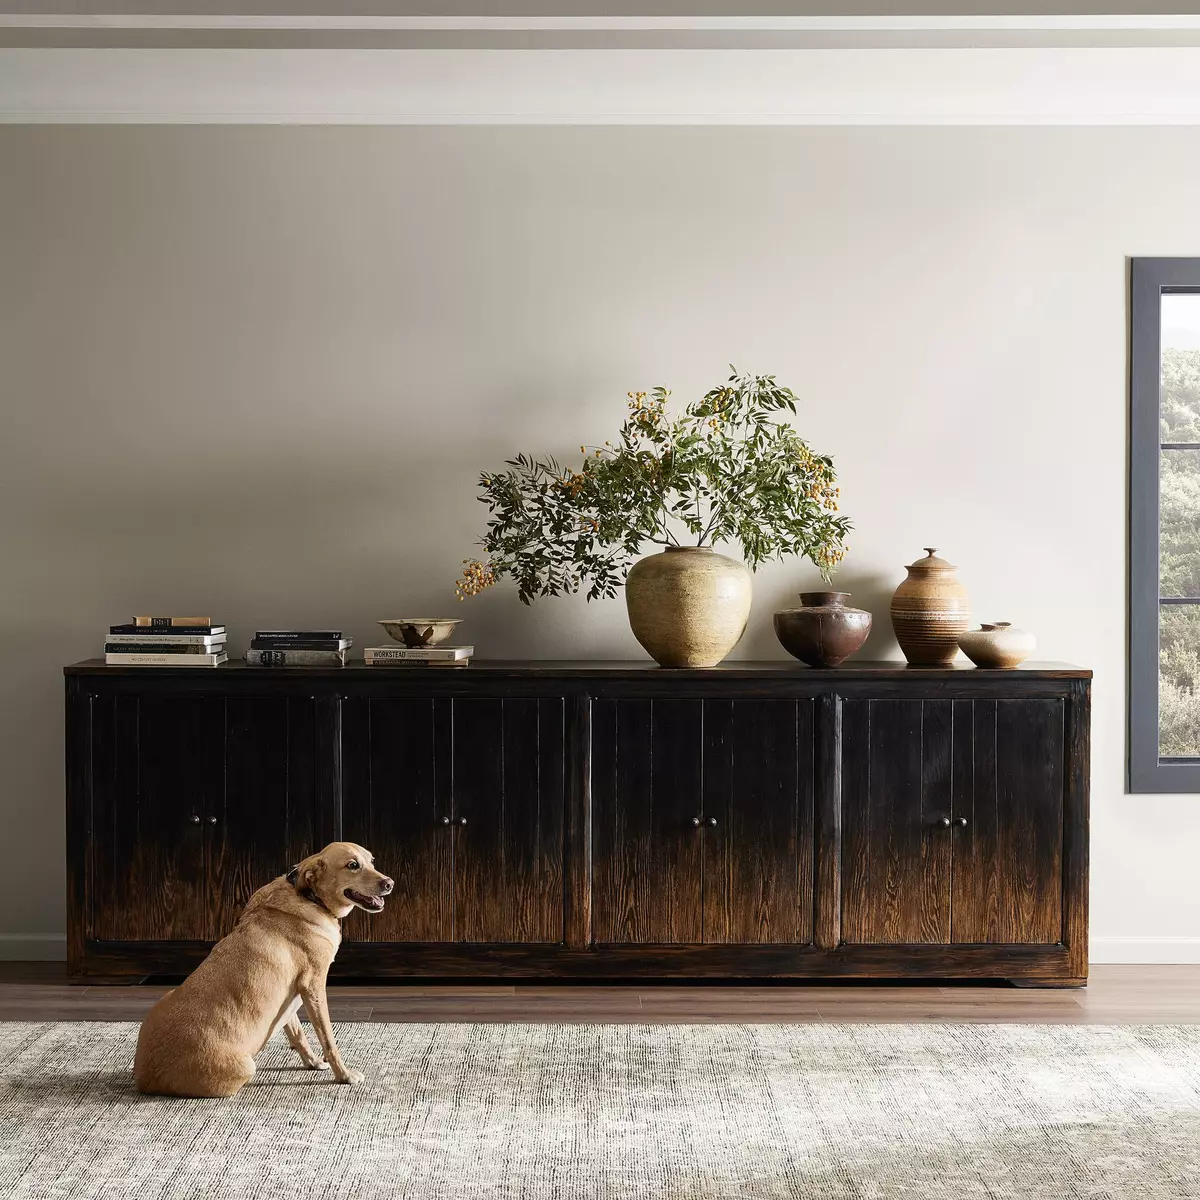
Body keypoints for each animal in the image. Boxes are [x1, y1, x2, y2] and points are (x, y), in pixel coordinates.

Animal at [133, 844, 391, 1099]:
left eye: (372, 861)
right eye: (353, 865)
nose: (389, 883)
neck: (310, 898)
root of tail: (146, 1078)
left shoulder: (291, 999)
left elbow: (298, 1034)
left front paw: (314, 1062)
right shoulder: (314, 987)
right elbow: (328, 1038)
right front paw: (344, 1076)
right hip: (246, 1066)